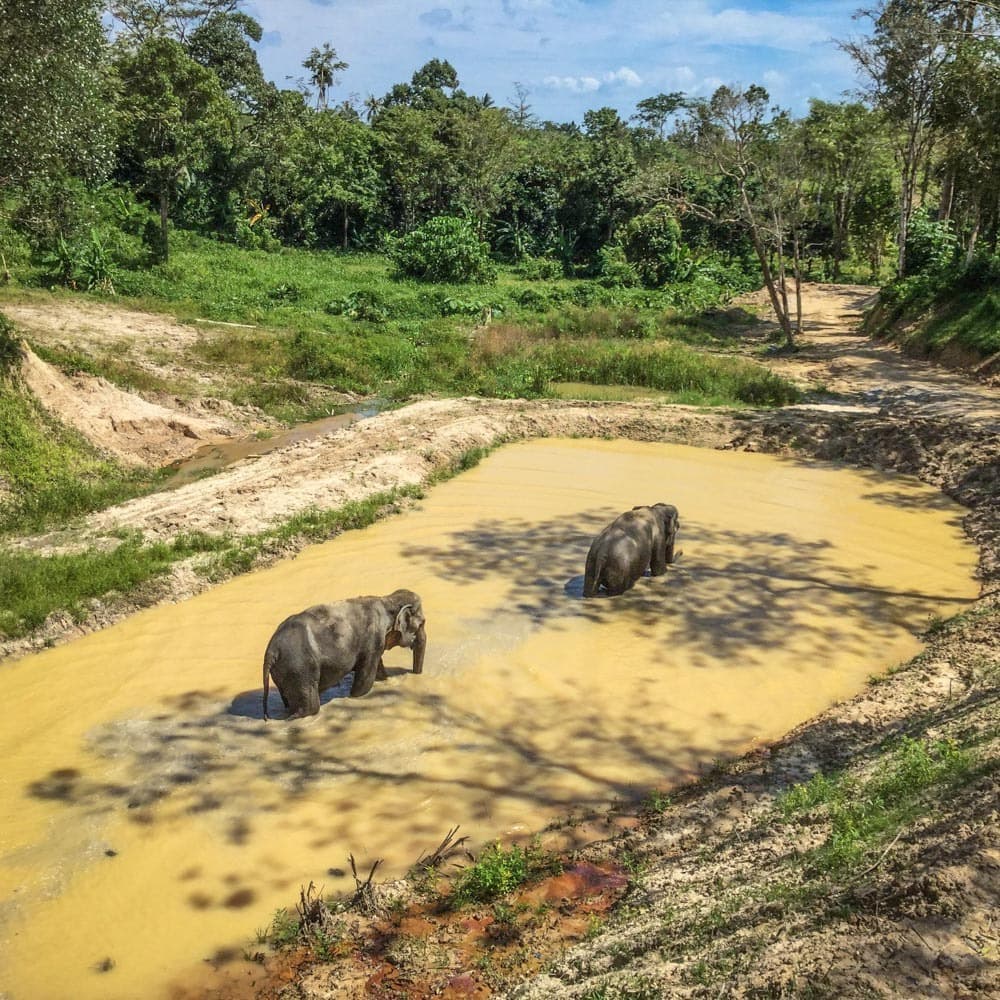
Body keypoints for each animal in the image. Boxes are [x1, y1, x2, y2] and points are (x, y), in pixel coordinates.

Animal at [262, 589, 426, 720]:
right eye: (423, 623)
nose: (414, 674)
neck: (387, 600)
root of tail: (271, 651)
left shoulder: (375, 644)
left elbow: (378, 670)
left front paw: (385, 680)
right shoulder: (372, 641)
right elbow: (365, 680)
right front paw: (355, 696)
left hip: (285, 672)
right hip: (299, 668)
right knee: (311, 707)